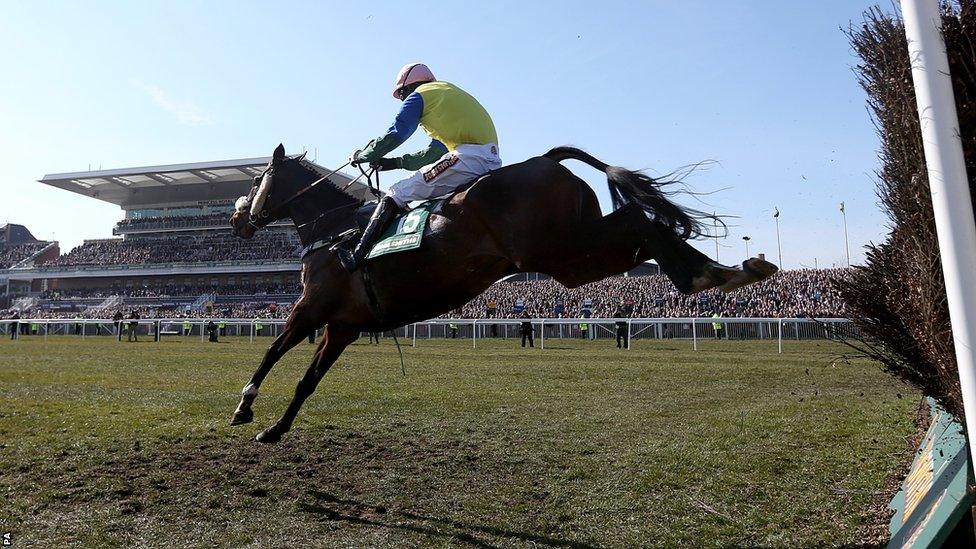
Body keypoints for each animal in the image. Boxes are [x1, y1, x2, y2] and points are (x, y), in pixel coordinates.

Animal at [229, 143, 776, 444]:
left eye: (258, 181)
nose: (237, 218)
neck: (336, 231)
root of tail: (546, 159)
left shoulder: (310, 308)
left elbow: (272, 351)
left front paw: (244, 406)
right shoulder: (342, 326)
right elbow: (307, 381)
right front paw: (274, 430)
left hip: (561, 254)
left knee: (641, 223)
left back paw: (712, 275)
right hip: (571, 253)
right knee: (640, 224)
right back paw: (726, 271)